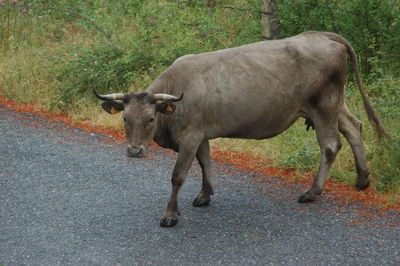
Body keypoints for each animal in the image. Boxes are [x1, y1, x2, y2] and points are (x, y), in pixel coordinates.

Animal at [93, 31, 384, 227]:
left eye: (151, 119)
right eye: (125, 118)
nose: (134, 151)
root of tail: (321, 35)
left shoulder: (190, 136)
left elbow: (178, 176)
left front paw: (170, 215)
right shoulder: (201, 134)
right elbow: (206, 162)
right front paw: (205, 195)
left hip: (324, 104)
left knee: (331, 145)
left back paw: (312, 192)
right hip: (335, 104)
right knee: (354, 127)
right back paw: (362, 179)